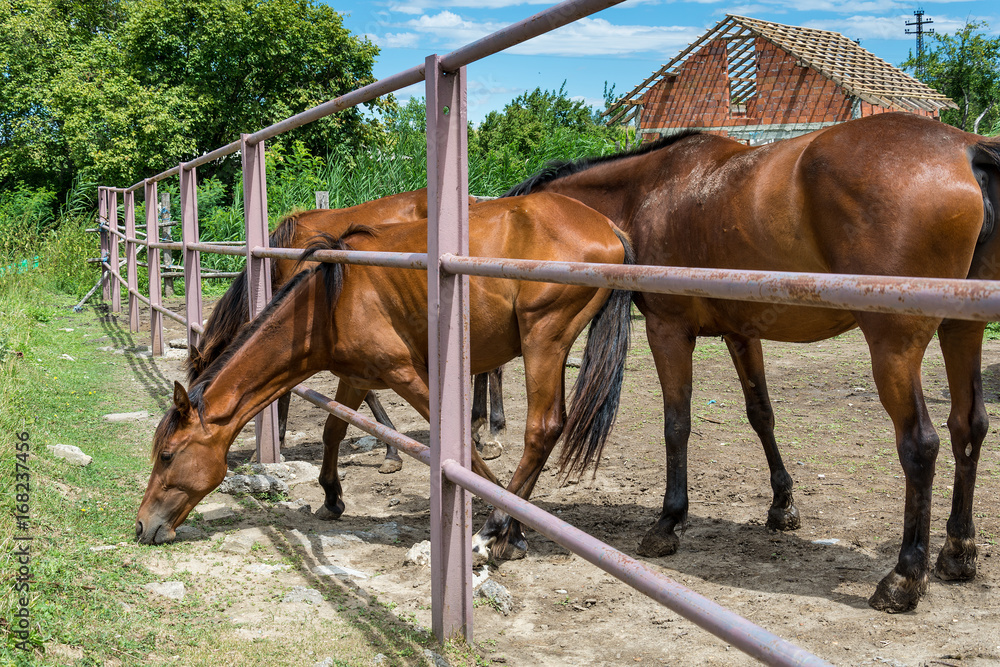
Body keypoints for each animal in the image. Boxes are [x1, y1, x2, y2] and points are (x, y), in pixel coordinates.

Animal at [504, 112, 1000, 612]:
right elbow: (761, 413)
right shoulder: (741, 333)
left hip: (894, 347)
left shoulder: (667, 329)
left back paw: (904, 577)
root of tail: (966, 148)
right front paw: (782, 504)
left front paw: (669, 521)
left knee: (920, 444)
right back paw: (957, 552)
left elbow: (677, 423)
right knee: (968, 426)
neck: (645, 193)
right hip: (961, 331)